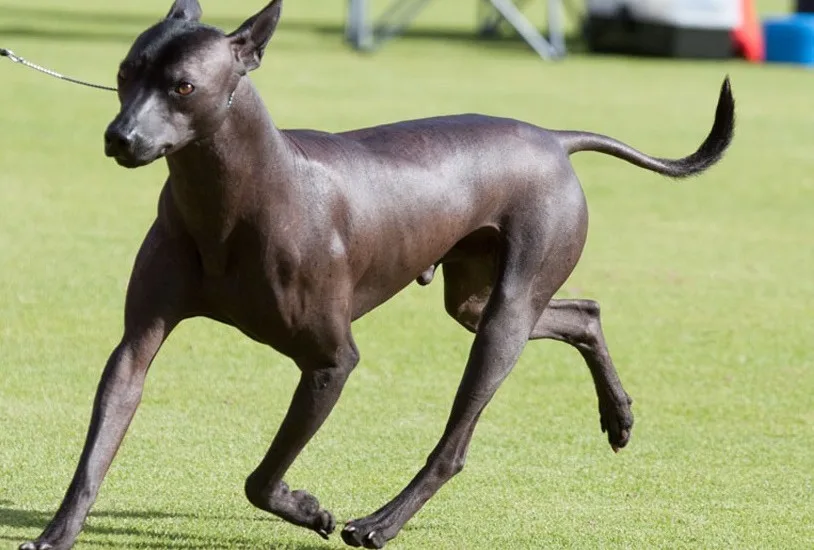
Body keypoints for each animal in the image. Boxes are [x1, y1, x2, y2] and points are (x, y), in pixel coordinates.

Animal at [19, 1, 736, 550]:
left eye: (184, 87)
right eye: (124, 73)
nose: (119, 138)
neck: (237, 196)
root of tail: (552, 138)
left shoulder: (331, 361)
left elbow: (261, 478)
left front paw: (308, 509)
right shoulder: (135, 345)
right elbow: (98, 448)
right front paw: (57, 535)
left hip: (504, 314)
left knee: (455, 442)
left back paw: (382, 523)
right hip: (475, 298)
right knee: (583, 313)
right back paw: (618, 416)